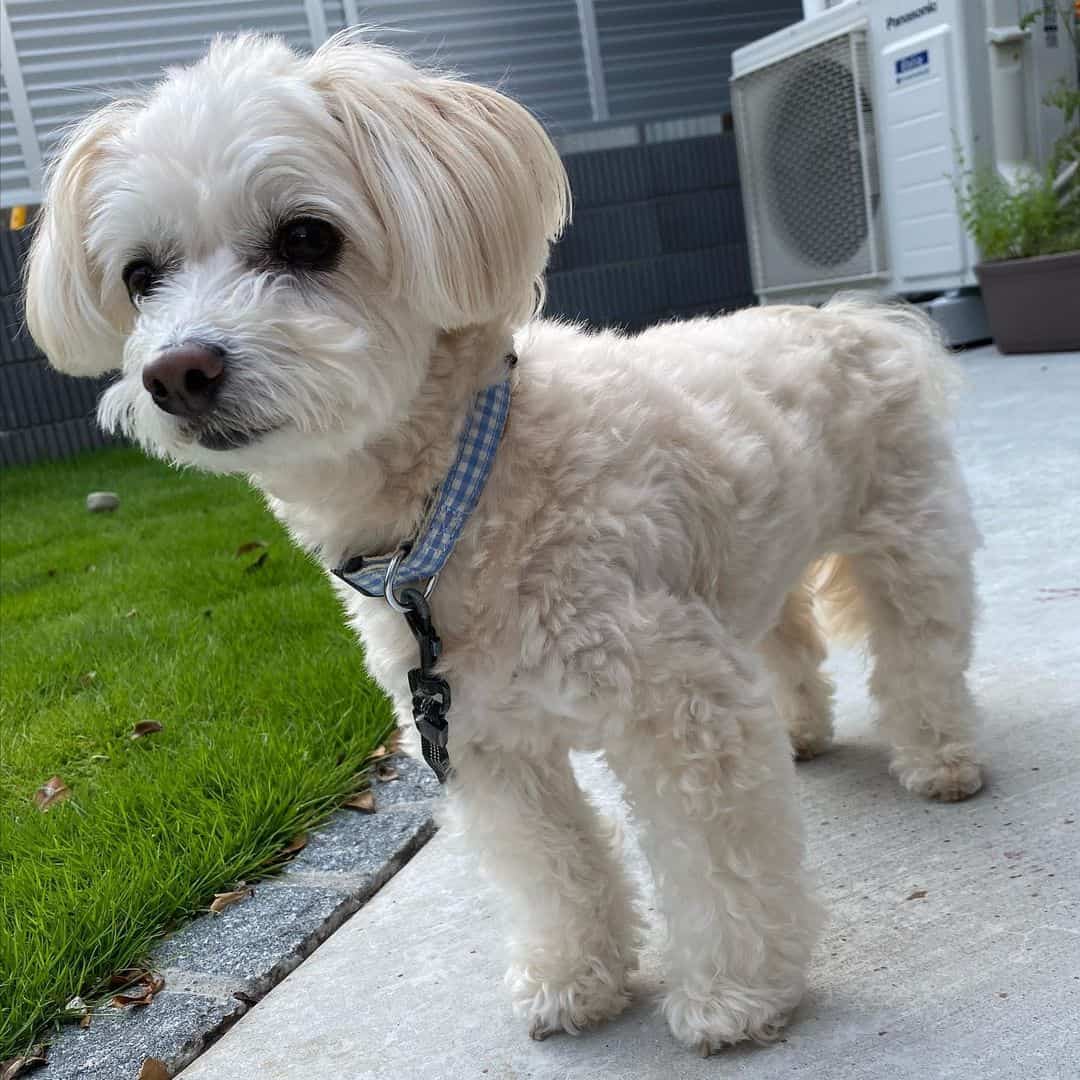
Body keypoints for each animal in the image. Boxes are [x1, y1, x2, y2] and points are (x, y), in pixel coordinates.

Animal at [27, 31, 989, 1054]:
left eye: (307, 239)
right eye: (140, 276)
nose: (176, 372)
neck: (463, 500)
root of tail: (851, 313)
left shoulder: (684, 712)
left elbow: (716, 864)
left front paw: (736, 995)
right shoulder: (484, 746)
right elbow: (554, 867)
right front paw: (576, 977)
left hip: (908, 533)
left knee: (921, 650)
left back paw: (940, 757)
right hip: (745, 567)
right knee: (786, 638)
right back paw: (803, 730)